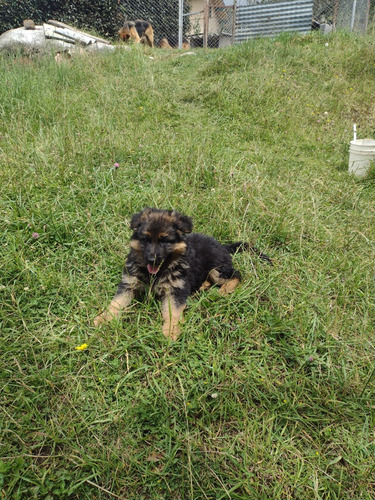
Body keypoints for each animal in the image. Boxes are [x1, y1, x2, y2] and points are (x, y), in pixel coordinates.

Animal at [93, 207, 270, 340]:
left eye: (164, 241)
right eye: (146, 239)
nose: (152, 259)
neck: (157, 273)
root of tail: (223, 246)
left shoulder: (176, 290)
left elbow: (173, 312)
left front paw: (171, 331)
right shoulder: (129, 283)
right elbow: (116, 302)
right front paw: (104, 318)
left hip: (217, 269)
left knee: (237, 274)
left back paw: (225, 289)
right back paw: (203, 287)